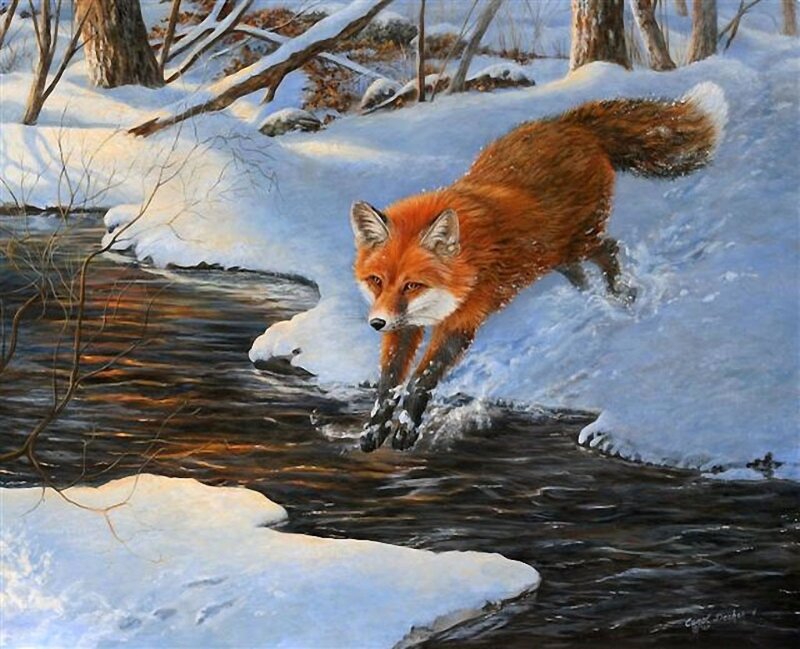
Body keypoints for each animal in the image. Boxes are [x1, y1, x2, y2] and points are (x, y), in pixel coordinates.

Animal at [351, 82, 728, 452]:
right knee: (580, 273)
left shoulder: (463, 319)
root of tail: (568, 122)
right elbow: (388, 385)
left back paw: (622, 295)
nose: (376, 323)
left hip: (578, 240)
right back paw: (596, 300)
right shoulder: (404, 326)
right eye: (376, 280)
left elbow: (421, 379)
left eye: (413, 285)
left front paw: (406, 429)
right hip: (556, 256)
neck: (465, 263)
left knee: (610, 249)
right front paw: (373, 430)